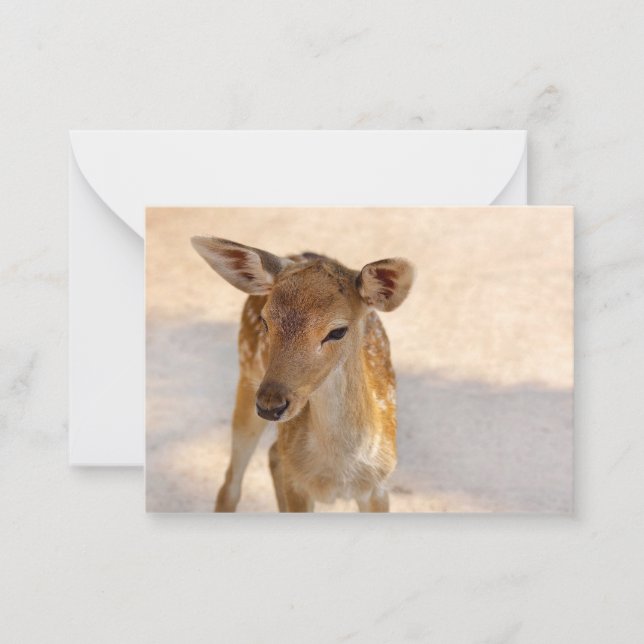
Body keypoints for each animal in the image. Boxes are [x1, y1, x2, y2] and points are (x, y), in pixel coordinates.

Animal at [191, 236, 414, 512]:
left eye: (337, 331)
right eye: (265, 322)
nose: (270, 405)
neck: (338, 472)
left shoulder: (379, 487)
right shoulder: (298, 485)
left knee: (273, 454)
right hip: (246, 375)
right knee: (231, 484)